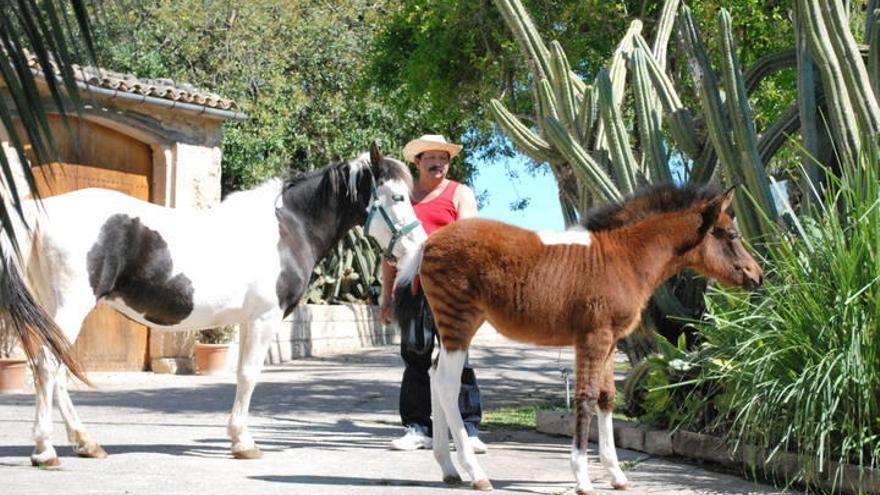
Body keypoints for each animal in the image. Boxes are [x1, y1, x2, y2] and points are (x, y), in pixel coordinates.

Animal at [0, 142, 426, 464]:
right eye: (397, 196)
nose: (417, 245)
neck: (287, 229)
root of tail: (41, 212)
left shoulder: (247, 320)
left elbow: (242, 374)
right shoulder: (264, 318)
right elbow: (249, 375)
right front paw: (244, 443)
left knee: (56, 370)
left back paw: (85, 443)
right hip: (72, 307)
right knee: (48, 366)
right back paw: (45, 450)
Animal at [392, 184, 764, 494]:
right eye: (731, 234)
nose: (757, 276)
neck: (625, 258)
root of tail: (428, 243)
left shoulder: (611, 342)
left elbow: (606, 398)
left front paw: (616, 475)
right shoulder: (592, 338)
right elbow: (584, 398)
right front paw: (583, 478)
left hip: (451, 327)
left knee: (433, 374)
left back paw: (448, 468)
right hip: (458, 321)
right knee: (446, 384)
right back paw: (475, 473)